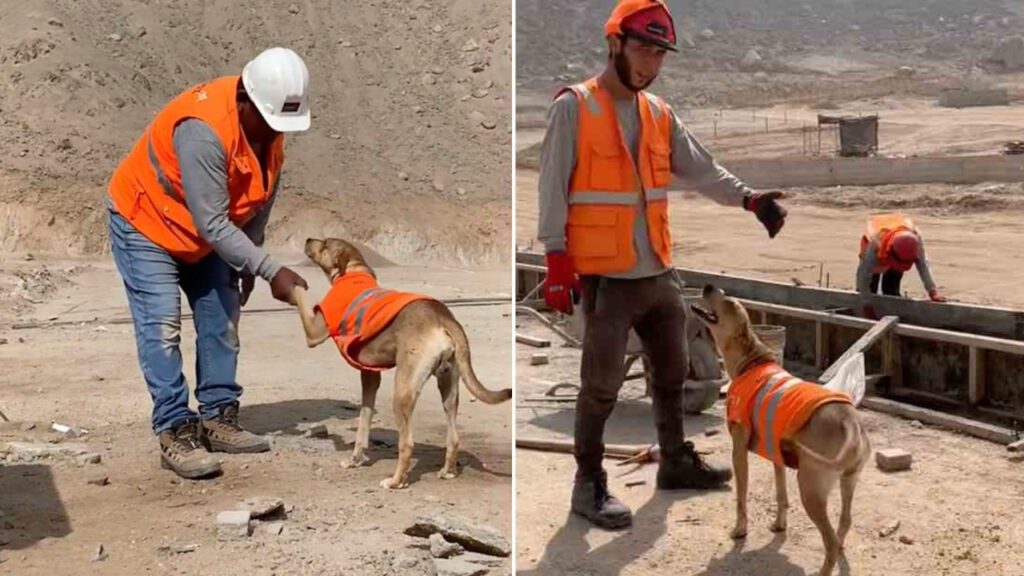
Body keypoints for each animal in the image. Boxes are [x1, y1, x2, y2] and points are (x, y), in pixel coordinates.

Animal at [288, 235, 512, 485]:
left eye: (325, 243)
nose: (308, 239)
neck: (354, 269)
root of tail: (443, 317)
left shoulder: (314, 332)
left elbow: (298, 295)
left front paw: (290, 278)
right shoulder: (369, 376)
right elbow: (364, 422)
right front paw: (355, 459)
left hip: (403, 390)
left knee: (407, 444)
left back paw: (395, 481)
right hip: (449, 386)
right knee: (453, 438)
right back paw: (447, 471)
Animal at [692, 282, 868, 573]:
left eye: (728, 302)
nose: (707, 285)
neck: (751, 360)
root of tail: (850, 420)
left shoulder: (738, 450)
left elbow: (741, 497)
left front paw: (740, 530)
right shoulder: (776, 454)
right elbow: (781, 494)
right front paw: (779, 525)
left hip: (811, 488)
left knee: (830, 541)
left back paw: (823, 569)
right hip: (848, 481)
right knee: (845, 522)